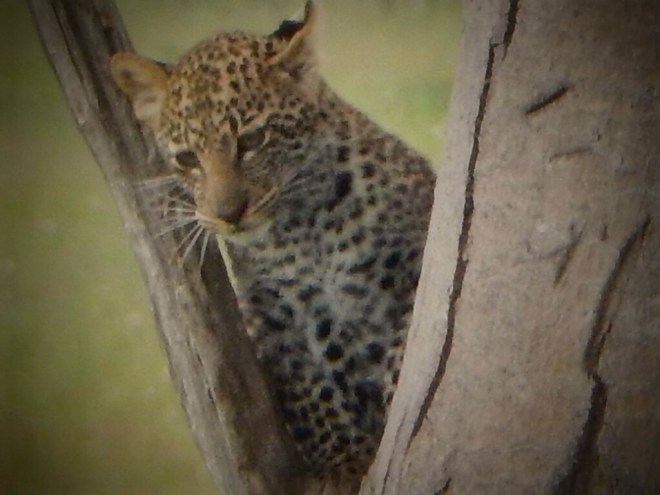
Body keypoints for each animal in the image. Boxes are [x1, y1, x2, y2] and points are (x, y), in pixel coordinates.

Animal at [111, 1, 435, 478]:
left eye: (251, 140)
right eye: (187, 158)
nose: (228, 214)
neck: (305, 229)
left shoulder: (418, 265)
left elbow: (405, 341)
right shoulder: (274, 318)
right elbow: (312, 391)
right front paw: (344, 463)